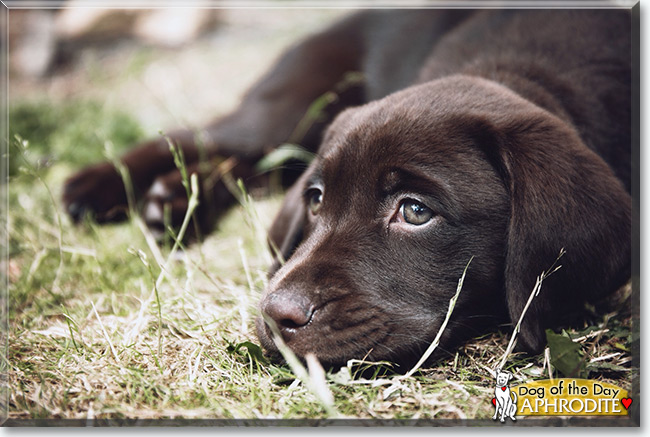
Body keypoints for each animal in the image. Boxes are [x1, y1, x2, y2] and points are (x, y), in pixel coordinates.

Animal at [63, 9, 632, 368]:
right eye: (317, 200)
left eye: (415, 211)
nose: (276, 315)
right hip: (294, 101)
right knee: (203, 136)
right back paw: (97, 188)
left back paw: (174, 203)